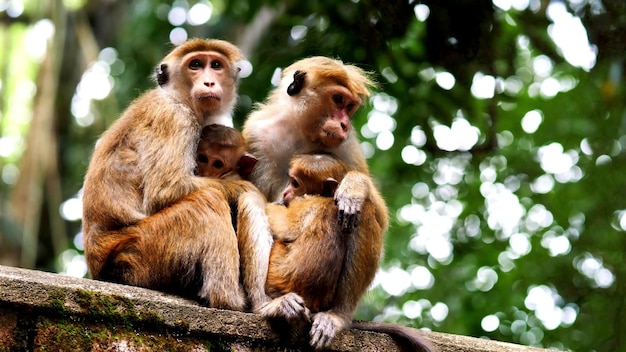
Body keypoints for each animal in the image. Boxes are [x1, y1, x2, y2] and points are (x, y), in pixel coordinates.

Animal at [81, 39, 270, 314]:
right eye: (195, 65)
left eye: (216, 65)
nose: (209, 82)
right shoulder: (174, 117)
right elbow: (165, 190)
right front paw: (245, 187)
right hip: (138, 253)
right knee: (208, 202)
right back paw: (229, 300)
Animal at [262, 154, 434, 352]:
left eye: (295, 183)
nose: (285, 193)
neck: (325, 197)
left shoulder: (304, 203)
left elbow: (282, 223)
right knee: (367, 211)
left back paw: (338, 316)